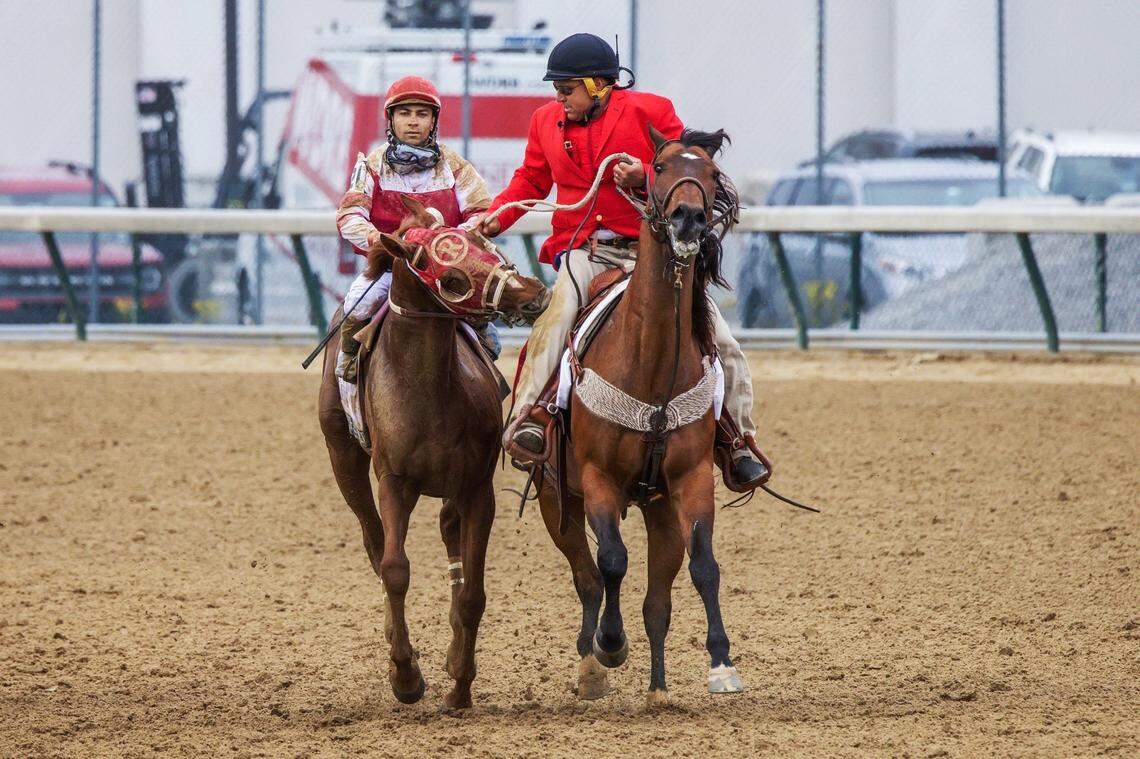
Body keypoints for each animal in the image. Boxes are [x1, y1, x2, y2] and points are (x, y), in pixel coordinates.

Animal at [317, 196, 548, 709]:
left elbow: (473, 594)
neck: (428, 390)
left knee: (449, 538)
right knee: (373, 542)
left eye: (483, 240)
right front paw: (405, 675)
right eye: (452, 277)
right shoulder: (394, 482)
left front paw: (460, 682)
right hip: (343, 457)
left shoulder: (477, 487)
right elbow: (394, 568)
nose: (534, 294)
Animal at [536, 127, 744, 706]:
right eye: (660, 165)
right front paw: (609, 643)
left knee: (657, 602)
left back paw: (657, 689)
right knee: (586, 577)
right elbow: (611, 561)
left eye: (711, 174)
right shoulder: (598, 480)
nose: (689, 218)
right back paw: (592, 665)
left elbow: (704, 566)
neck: (649, 368)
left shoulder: (690, 479)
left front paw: (721, 663)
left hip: (659, 509)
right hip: (555, 501)